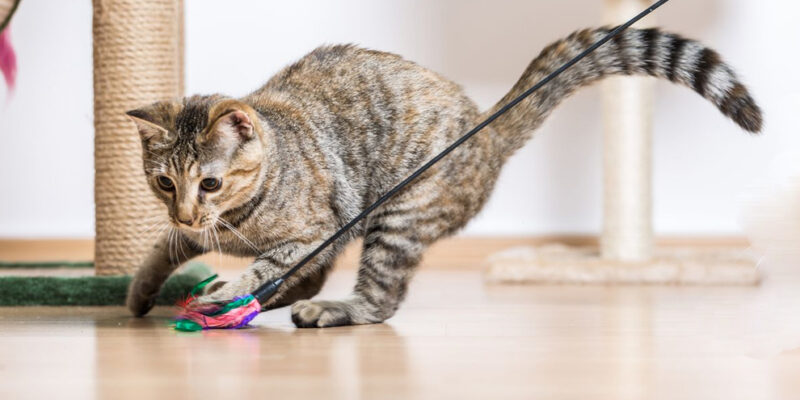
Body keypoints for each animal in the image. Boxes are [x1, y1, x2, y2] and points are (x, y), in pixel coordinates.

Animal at [125, 28, 764, 328]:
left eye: (209, 183)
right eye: (164, 183)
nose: (186, 210)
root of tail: (485, 131)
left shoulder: (311, 232)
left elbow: (265, 265)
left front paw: (225, 292)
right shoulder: (193, 231)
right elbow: (161, 248)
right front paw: (140, 292)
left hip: (395, 216)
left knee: (379, 300)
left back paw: (330, 309)